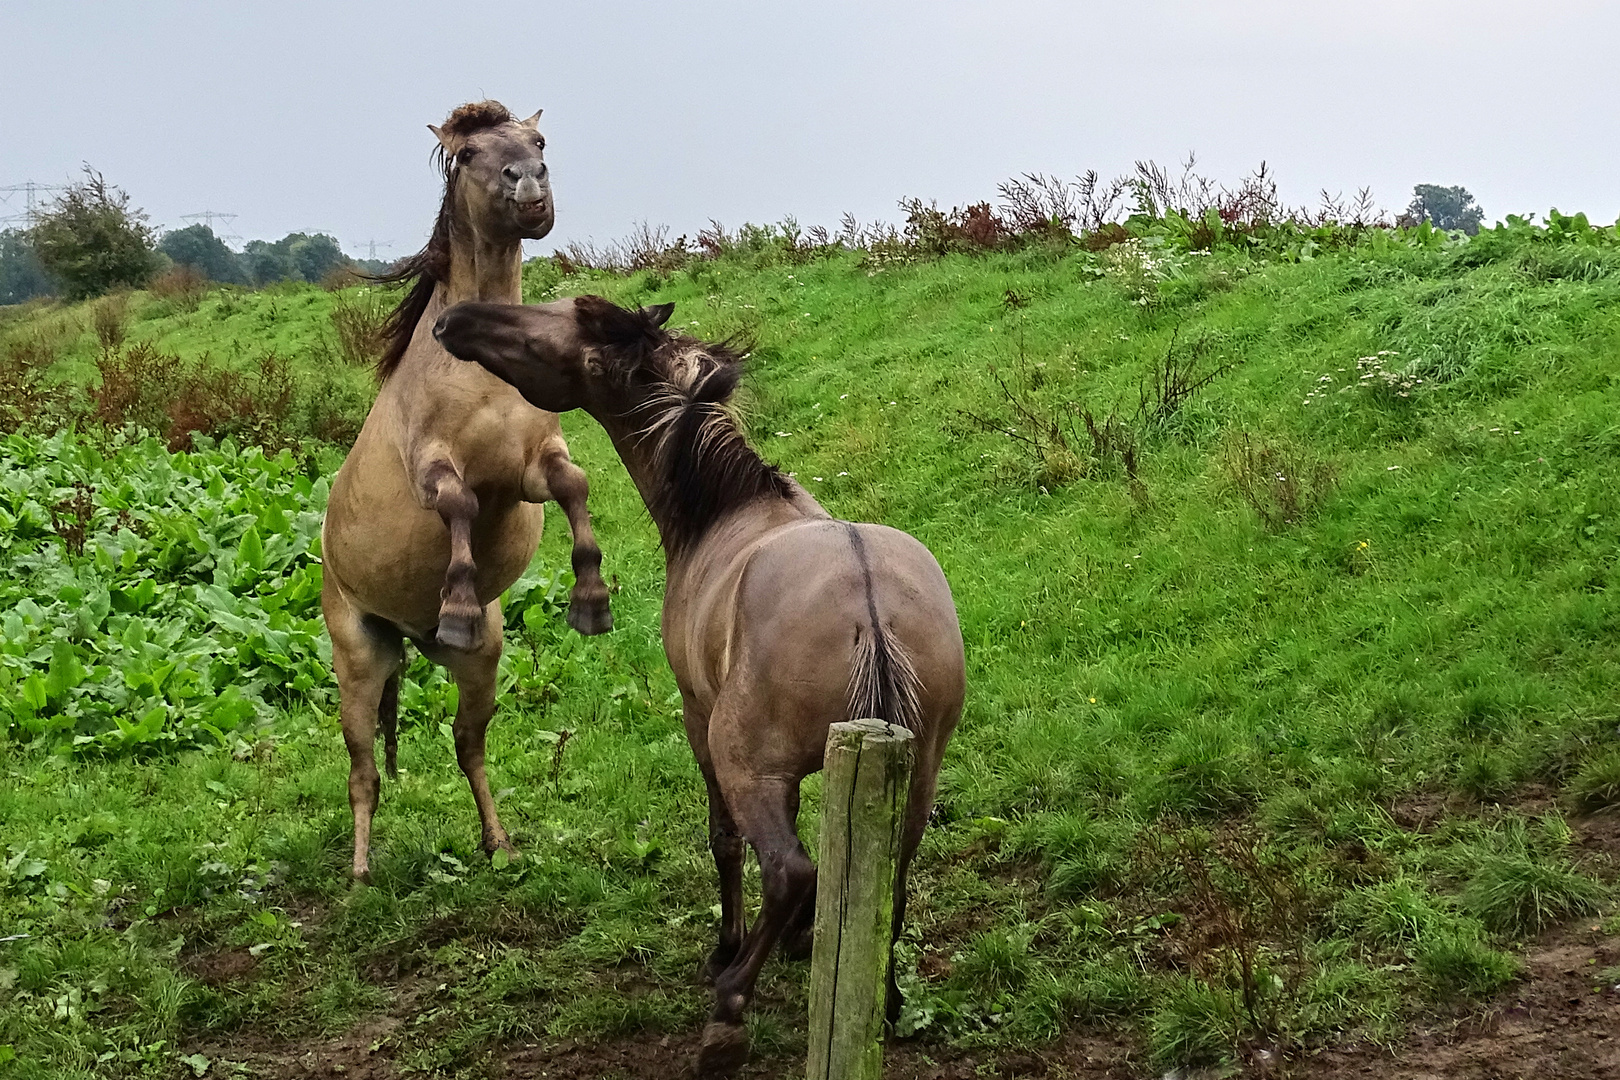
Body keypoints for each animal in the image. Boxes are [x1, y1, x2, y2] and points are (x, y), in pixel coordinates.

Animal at [320, 101, 612, 880]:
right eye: (470, 153)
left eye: (538, 140)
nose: (531, 186)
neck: (481, 368)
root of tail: (406, 636)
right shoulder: (434, 465)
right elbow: (458, 503)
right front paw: (455, 601)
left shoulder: (534, 466)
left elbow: (575, 485)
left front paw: (591, 601)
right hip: (358, 661)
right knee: (362, 768)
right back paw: (360, 871)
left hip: (480, 666)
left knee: (467, 743)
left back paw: (499, 844)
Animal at [430, 291, 959, 1075]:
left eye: (548, 326)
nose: (453, 320)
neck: (725, 509)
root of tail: (870, 607)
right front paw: (804, 941)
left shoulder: (699, 722)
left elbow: (725, 841)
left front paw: (728, 951)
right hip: (916, 775)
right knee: (888, 872)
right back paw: (886, 1000)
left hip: (744, 761)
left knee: (790, 870)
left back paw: (729, 1011)